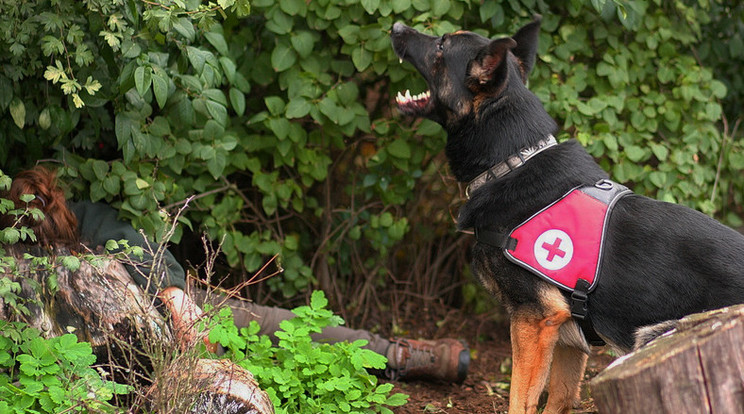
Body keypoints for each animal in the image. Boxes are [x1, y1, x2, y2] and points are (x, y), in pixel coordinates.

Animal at [390, 15, 744, 410]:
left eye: (441, 45)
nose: (397, 25)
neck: (512, 162)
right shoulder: (566, 336)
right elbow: (558, 396)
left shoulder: (534, 321)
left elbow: (521, 400)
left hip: (654, 336)